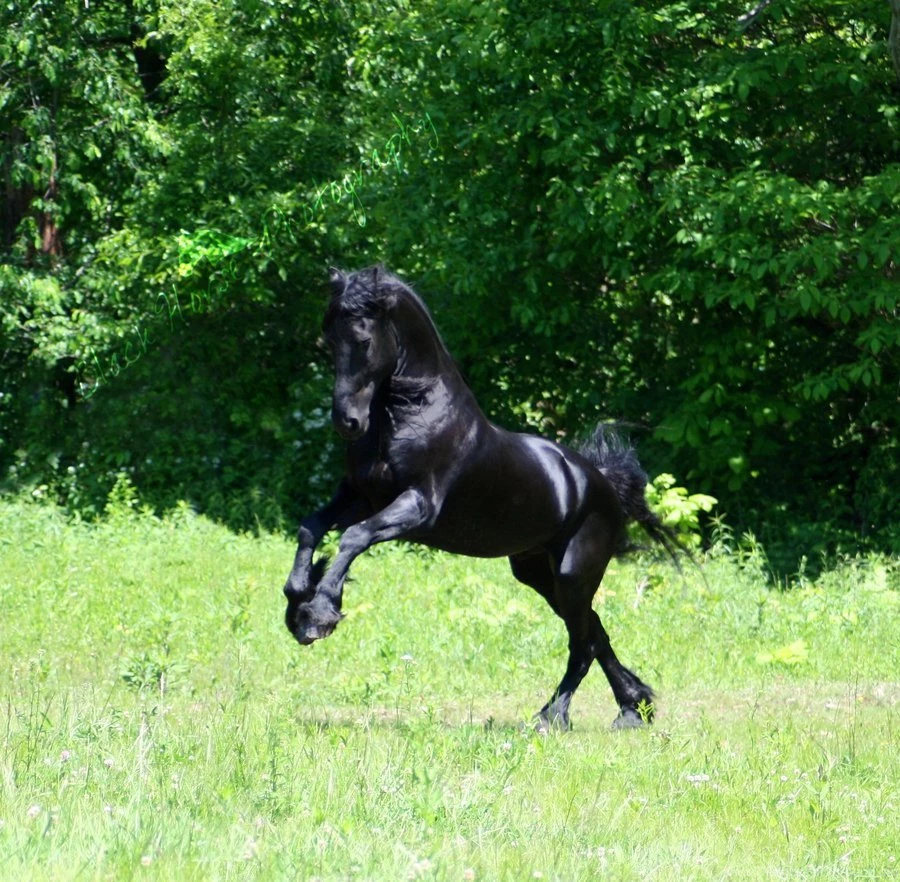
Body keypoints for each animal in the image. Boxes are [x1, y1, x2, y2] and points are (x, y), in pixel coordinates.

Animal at [283, 266, 678, 730]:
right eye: (329, 339)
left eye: (362, 340)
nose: (347, 422)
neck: (411, 413)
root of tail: (602, 483)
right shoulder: (361, 495)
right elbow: (311, 527)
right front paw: (297, 600)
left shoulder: (417, 506)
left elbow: (354, 537)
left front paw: (321, 613)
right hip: (537, 574)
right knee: (595, 632)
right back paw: (633, 707)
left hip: (573, 575)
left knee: (582, 644)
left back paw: (553, 717)